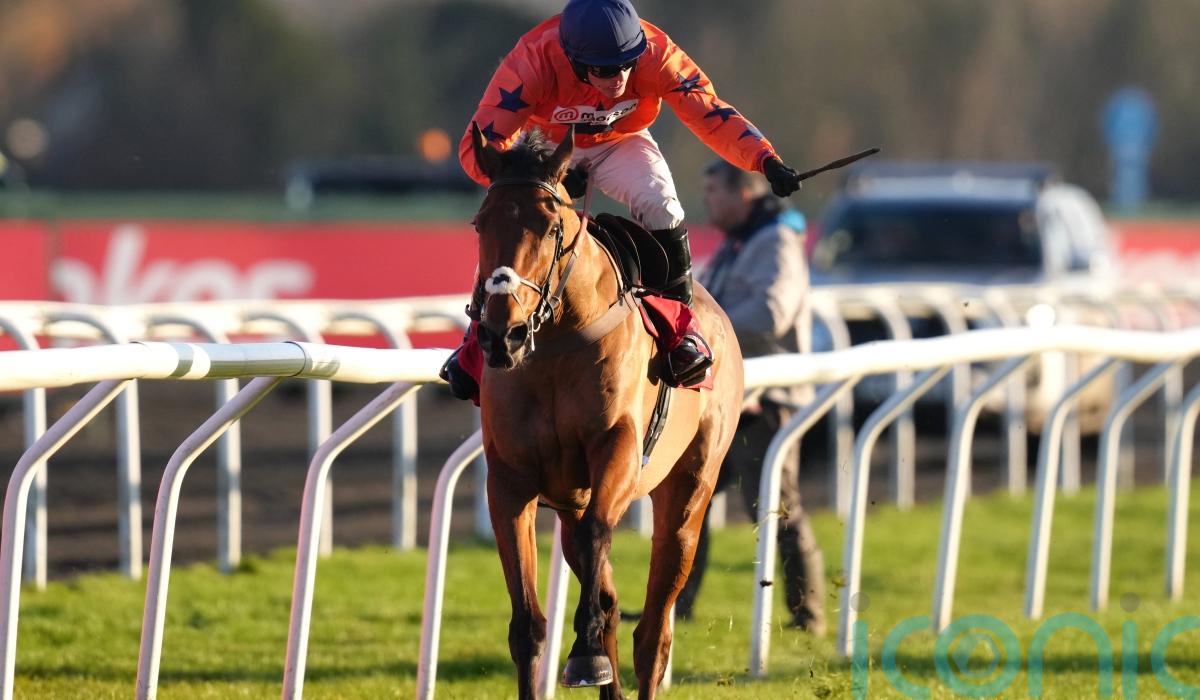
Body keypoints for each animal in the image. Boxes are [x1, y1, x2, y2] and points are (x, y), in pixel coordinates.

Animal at [467, 122, 744, 700]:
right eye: (480, 224)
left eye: (551, 227)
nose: (502, 335)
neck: (554, 343)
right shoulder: (509, 479)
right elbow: (527, 625)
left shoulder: (617, 447)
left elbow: (599, 534)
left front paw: (587, 655)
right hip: (569, 501)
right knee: (612, 600)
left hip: (689, 491)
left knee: (654, 626)